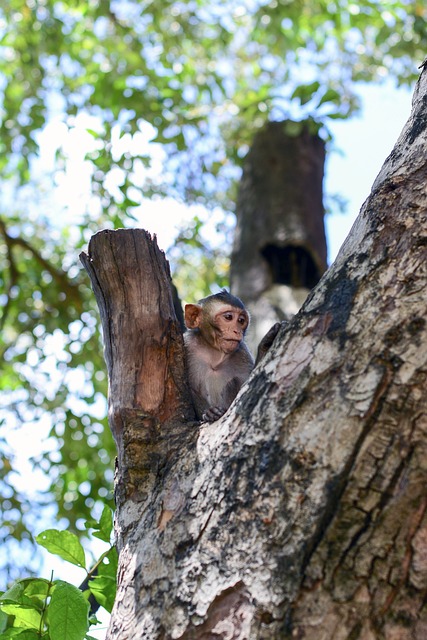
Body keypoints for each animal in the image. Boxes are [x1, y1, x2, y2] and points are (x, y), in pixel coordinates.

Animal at [184, 288, 280, 420]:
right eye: (228, 317)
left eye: (241, 320)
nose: (236, 331)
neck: (215, 353)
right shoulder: (188, 344)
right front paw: (209, 413)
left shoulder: (242, 352)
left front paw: (266, 345)